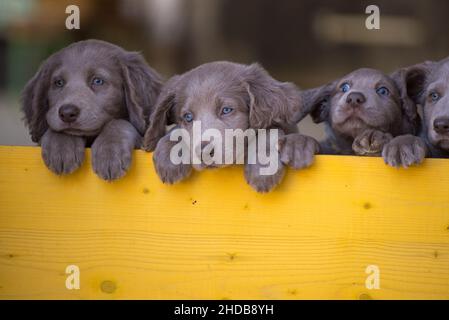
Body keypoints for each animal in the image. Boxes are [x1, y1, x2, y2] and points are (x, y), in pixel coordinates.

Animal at [21, 39, 161, 180]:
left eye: (98, 81)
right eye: (59, 83)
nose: (67, 113)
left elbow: (119, 123)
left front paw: (110, 153)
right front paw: (60, 147)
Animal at [142, 62, 316, 192]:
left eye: (226, 110)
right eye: (188, 117)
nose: (204, 152)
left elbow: (268, 131)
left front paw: (263, 168)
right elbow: (175, 131)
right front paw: (169, 157)